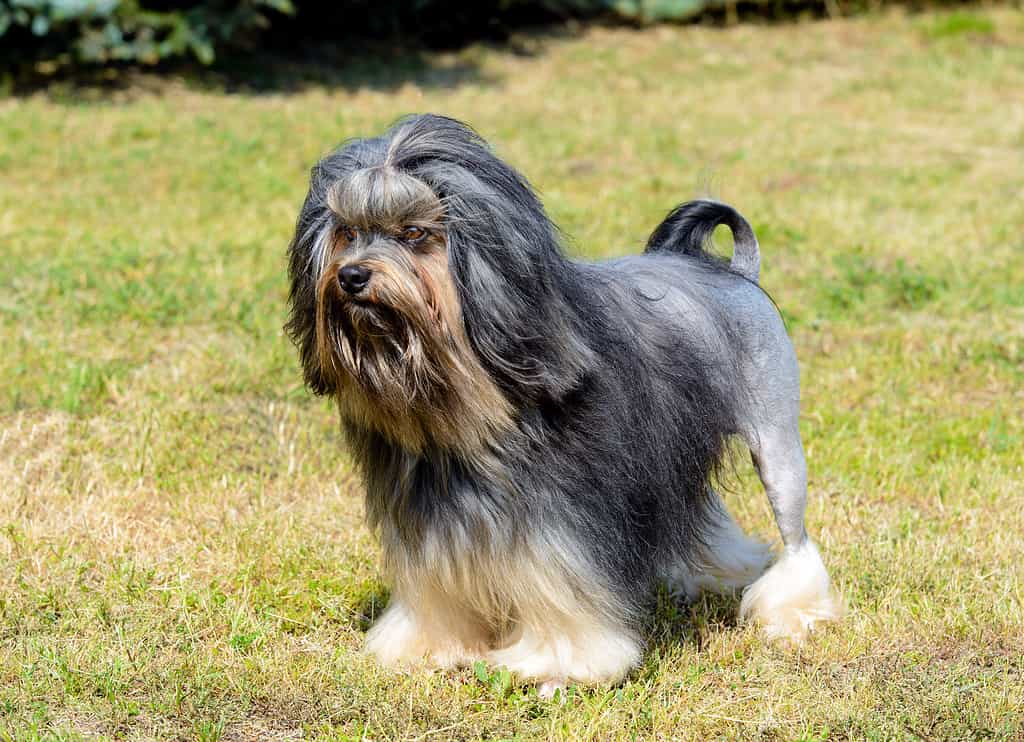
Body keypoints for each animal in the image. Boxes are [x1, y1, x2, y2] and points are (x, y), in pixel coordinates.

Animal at [284, 113, 843, 691]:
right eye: (347, 232)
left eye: (415, 233)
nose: (351, 276)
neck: (467, 396)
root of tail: (736, 274)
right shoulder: (427, 502)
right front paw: (429, 646)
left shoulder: (564, 511)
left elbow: (560, 582)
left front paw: (564, 663)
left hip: (776, 443)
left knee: (795, 537)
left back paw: (791, 612)